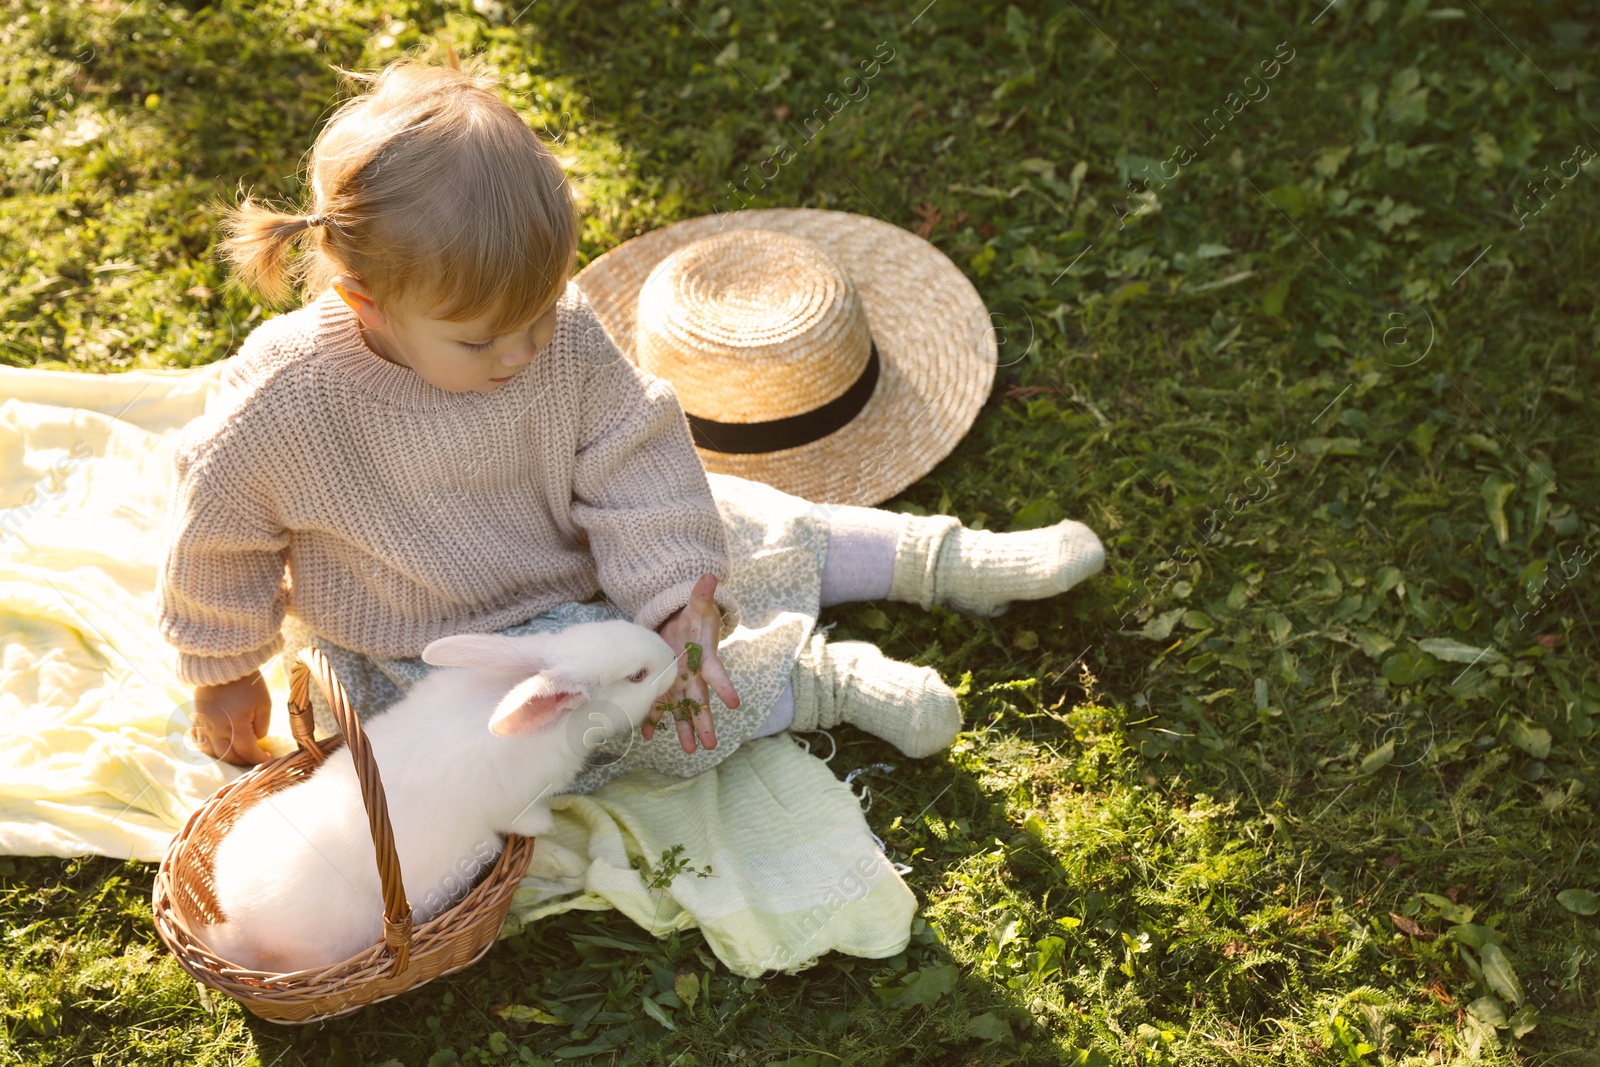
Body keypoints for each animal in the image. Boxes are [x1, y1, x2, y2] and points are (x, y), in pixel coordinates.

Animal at [200, 617, 675, 979]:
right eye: (637, 675)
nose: (673, 655)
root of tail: (244, 926)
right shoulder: (514, 801)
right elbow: (523, 819)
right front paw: (544, 826)